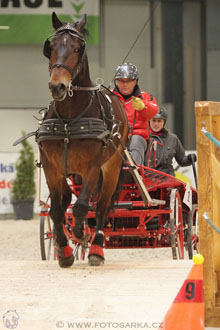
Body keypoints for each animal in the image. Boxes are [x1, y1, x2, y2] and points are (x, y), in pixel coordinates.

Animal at [39, 12, 129, 268]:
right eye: (51, 46)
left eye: (78, 48)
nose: (57, 86)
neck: (71, 118)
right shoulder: (51, 167)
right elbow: (56, 211)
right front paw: (63, 250)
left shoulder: (92, 167)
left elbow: (81, 206)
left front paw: (81, 233)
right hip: (67, 171)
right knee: (65, 201)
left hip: (111, 168)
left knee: (101, 207)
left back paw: (96, 247)